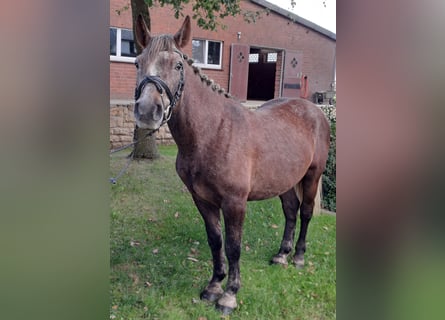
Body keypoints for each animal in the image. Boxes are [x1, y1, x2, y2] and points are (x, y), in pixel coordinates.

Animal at [134, 15, 332, 316]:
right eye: (137, 62)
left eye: (178, 66)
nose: (147, 111)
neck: (213, 132)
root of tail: (316, 111)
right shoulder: (202, 200)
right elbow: (215, 241)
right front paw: (214, 286)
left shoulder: (235, 202)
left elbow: (234, 246)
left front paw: (229, 296)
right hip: (284, 180)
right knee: (290, 210)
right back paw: (281, 255)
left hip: (312, 176)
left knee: (306, 212)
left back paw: (298, 257)